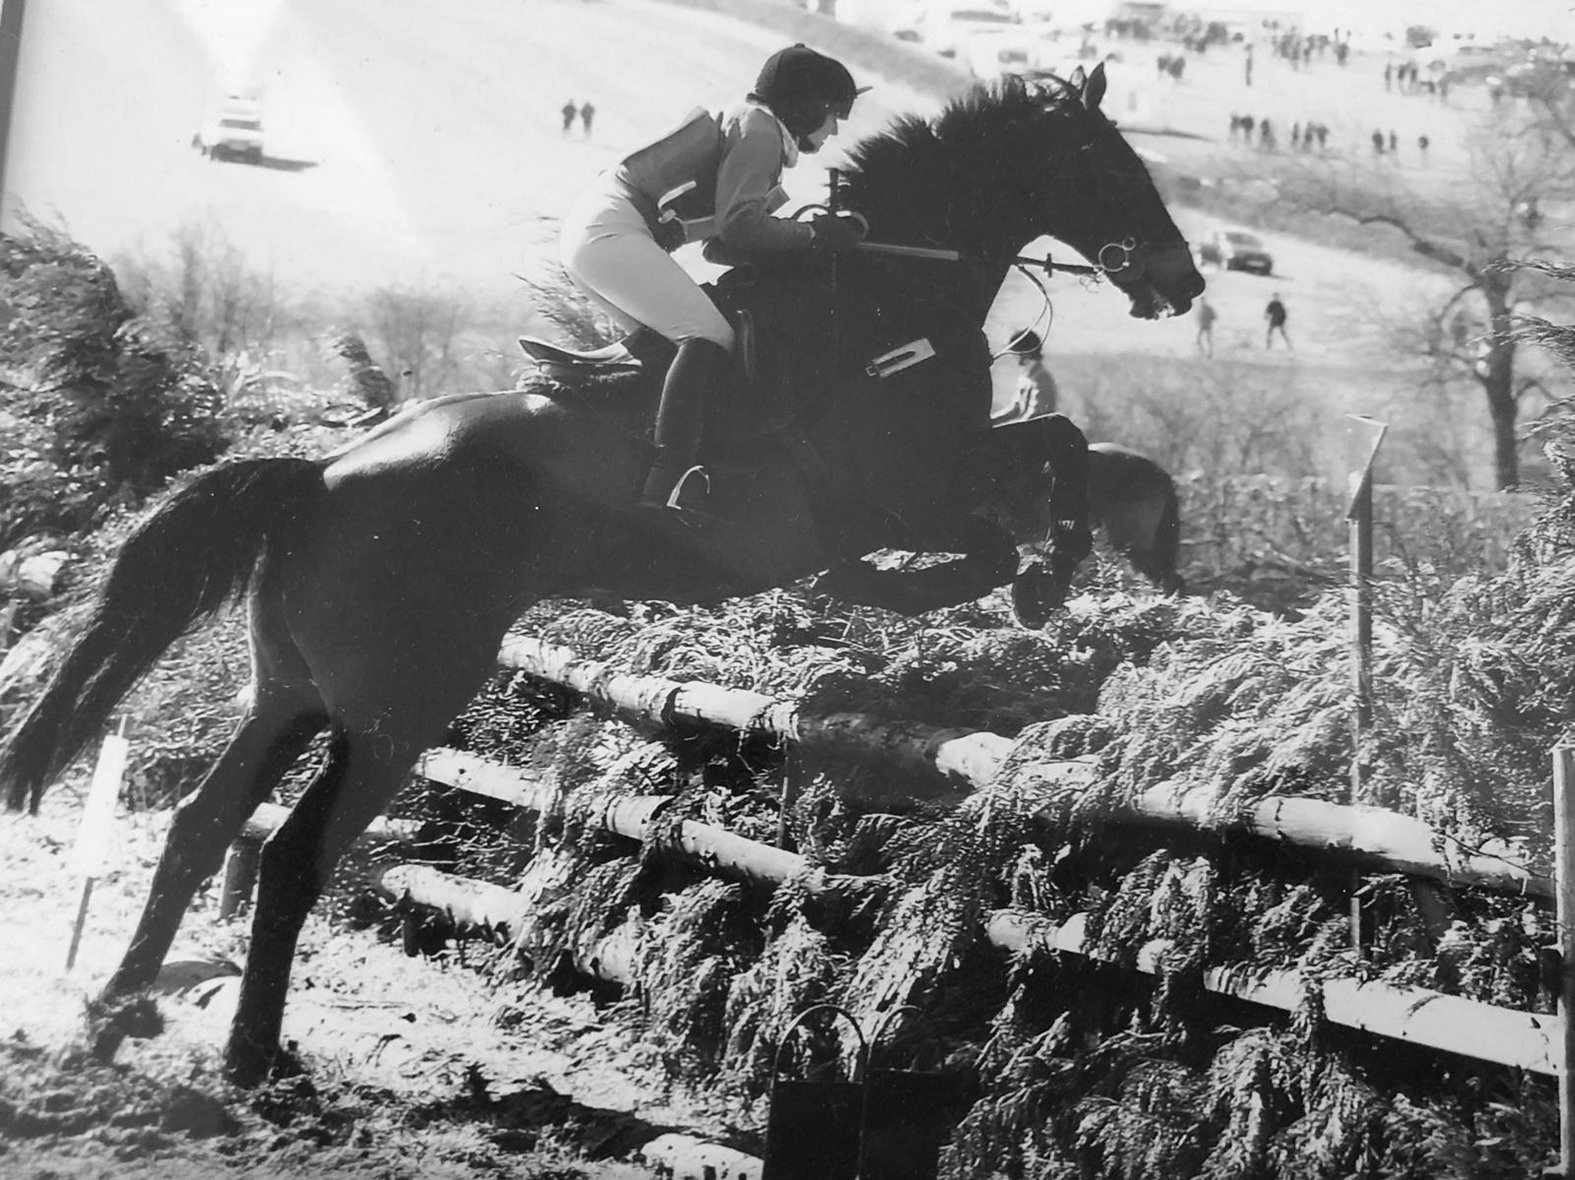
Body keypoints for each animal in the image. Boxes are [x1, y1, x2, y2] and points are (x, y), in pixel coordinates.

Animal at [0, 64, 1201, 1085]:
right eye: (1109, 167)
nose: (1184, 281)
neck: (887, 292)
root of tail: (324, 475)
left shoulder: (933, 478)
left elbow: (1061, 450)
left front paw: (1069, 562)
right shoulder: (906, 486)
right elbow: (1037, 468)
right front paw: (1017, 580)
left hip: (292, 692)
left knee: (200, 826)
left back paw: (117, 1014)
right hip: (396, 708)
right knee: (292, 857)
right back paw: (252, 1056)